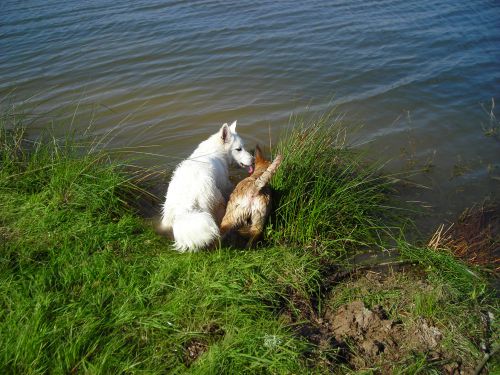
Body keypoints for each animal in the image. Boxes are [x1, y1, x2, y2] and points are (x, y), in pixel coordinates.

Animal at [160, 122, 254, 253]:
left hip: (169, 213)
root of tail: (185, 205)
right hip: (216, 201)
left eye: (243, 147)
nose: (253, 160)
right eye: (238, 149)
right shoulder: (224, 184)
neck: (215, 150)